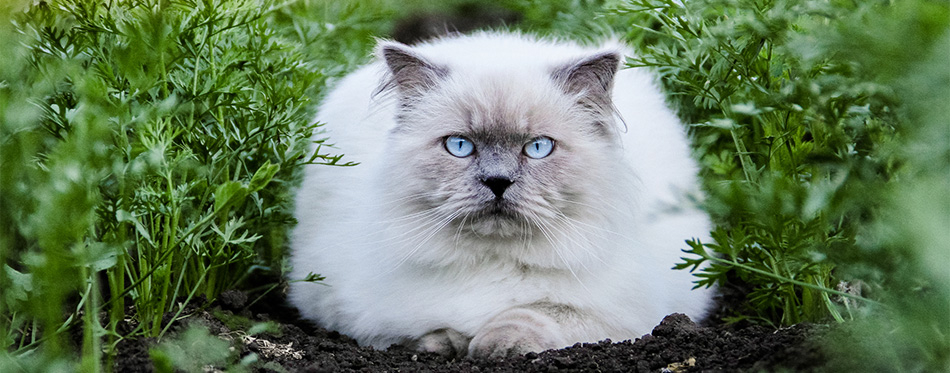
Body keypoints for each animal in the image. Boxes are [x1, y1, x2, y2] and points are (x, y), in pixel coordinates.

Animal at [290, 31, 712, 358]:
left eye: (538, 148)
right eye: (460, 146)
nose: (497, 181)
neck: (495, 262)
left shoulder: (619, 316)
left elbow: (535, 313)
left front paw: (494, 346)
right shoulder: (355, 312)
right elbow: (428, 331)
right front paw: (449, 345)